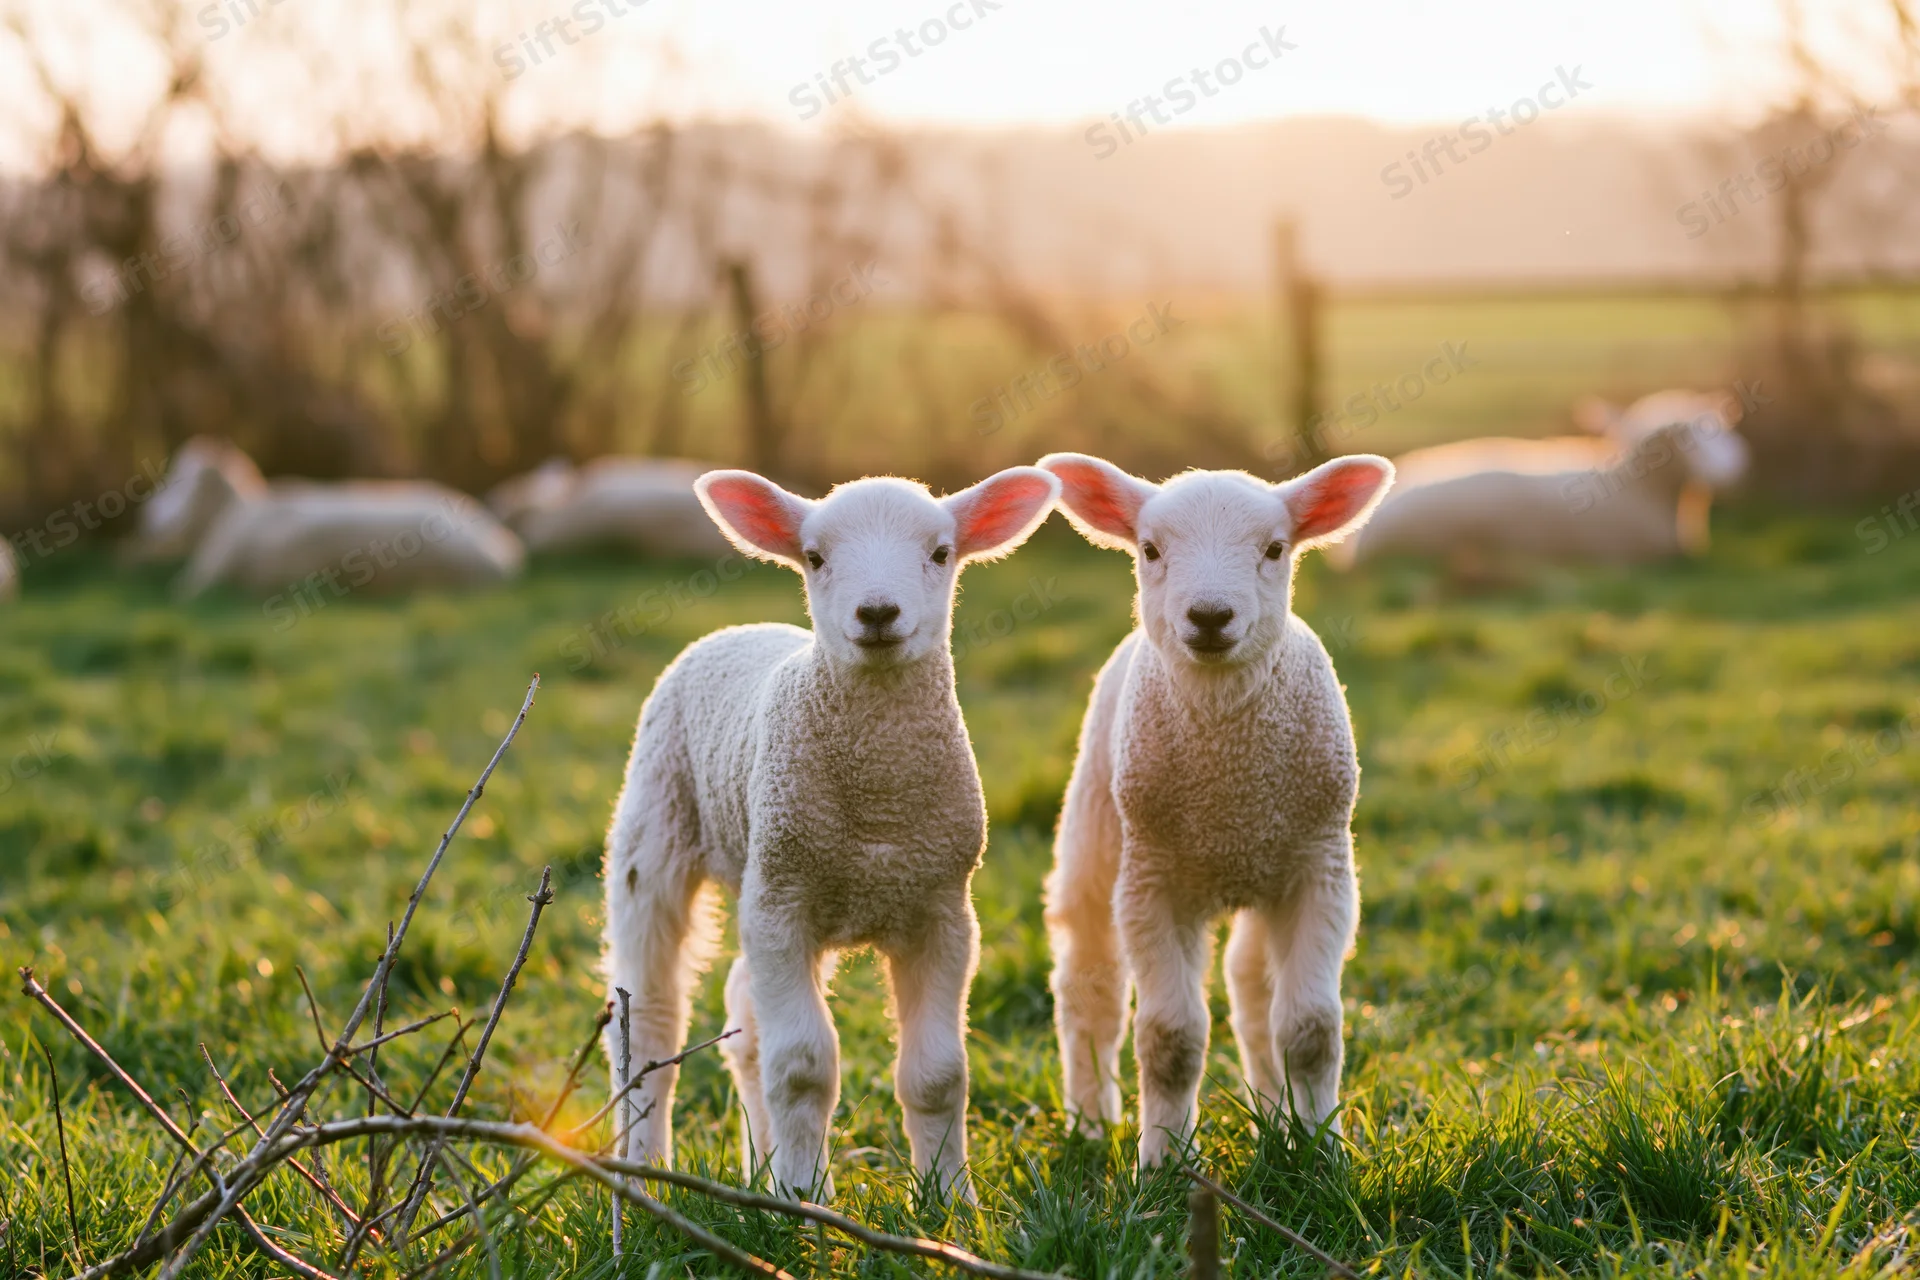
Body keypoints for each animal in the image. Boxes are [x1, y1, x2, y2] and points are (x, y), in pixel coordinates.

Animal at [601, 464, 1061, 1199]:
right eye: (815, 557)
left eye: (941, 553)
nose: (877, 613)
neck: (876, 806)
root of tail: (742, 628)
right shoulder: (785, 902)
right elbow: (803, 1067)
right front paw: (805, 1197)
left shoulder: (941, 908)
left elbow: (938, 1074)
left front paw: (948, 1199)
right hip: (661, 828)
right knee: (649, 1025)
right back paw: (646, 1174)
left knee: (744, 1019)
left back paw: (758, 1170)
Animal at [1039, 451, 1394, 1168]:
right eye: (1149, 549)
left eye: (1275, 549)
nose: (1209, 616)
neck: (1230, 784)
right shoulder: (1151, 884)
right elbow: (1170, 1039)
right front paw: (1165, 1164)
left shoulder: (1320, 871)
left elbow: (1311, 1029)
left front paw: (1321, 1152)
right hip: (1095, 830)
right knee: (1089, 985)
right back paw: (1090, 1121)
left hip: (1267, 871)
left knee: (1252, 989)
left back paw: (1274, 1114)